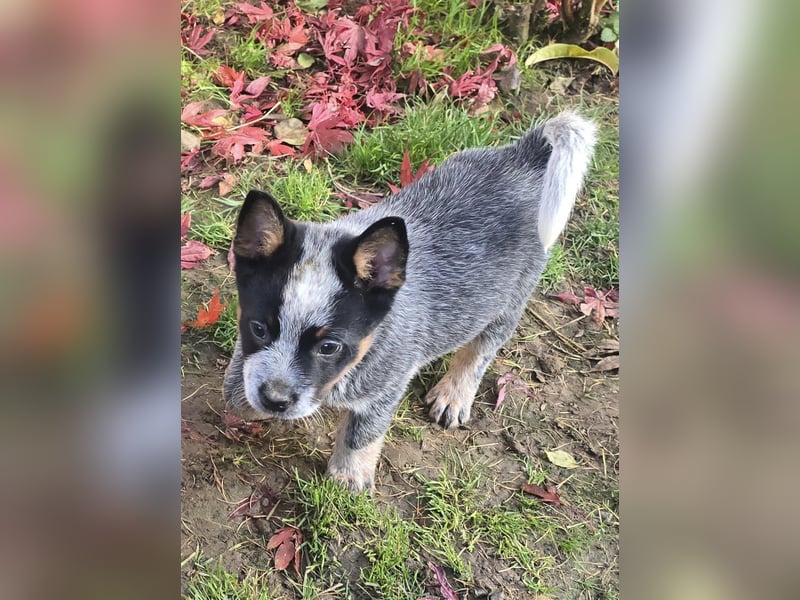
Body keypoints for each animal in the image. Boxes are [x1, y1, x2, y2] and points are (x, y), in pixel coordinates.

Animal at [222, 112, 596, 492]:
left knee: (481, 349)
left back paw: (454, 394)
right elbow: (238, 389)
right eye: (258, 328)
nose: (275, 400)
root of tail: (522, 158)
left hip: (509, 299)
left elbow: (361, 434)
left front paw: (348, 476)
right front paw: (244, 398)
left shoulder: (385, 389)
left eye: (329, 347)